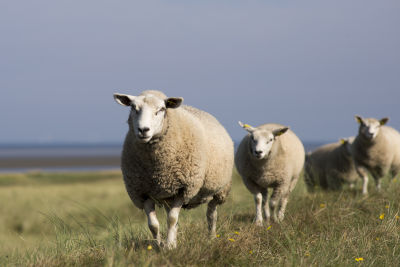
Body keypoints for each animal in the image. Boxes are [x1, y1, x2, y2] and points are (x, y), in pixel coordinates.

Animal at [112, 91, 234, 250]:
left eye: (161, 109)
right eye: (133, 108)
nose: (143, 130)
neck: (156, 170)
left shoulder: (183, 189)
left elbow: (171, 219)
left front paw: (169, 246)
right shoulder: (143, 192)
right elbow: (153, 225)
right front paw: (159, 246)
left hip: (218, 191)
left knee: (211, 215)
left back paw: (211, 238)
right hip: (167, 196)